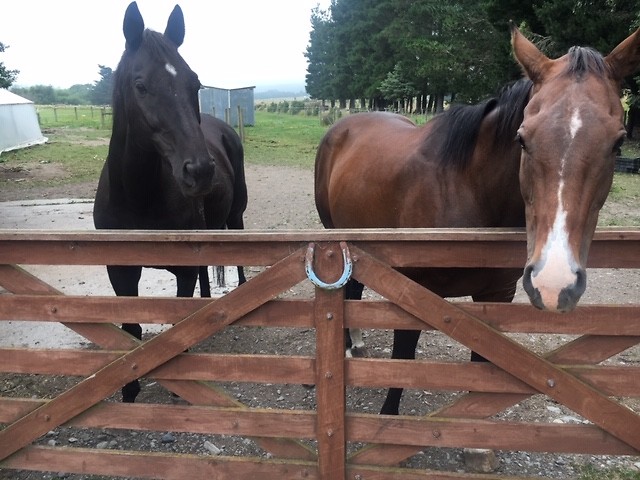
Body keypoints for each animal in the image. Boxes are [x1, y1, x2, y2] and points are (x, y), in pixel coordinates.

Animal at [93, 2, 248, 403]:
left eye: (194, 83)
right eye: (141, 85)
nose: (200, 171)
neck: (139, 198)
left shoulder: (183, 268)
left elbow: (178, 328)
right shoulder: (120, 270)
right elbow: (130, 330)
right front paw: (128, 390)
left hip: (236, 216)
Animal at [314, 23, 640, 415]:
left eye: (617, 143)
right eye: (522, 139)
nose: (554, 282)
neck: (466, 188)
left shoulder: (496, 297)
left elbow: (480, 376)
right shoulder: (413, 294)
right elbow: (403, 361)